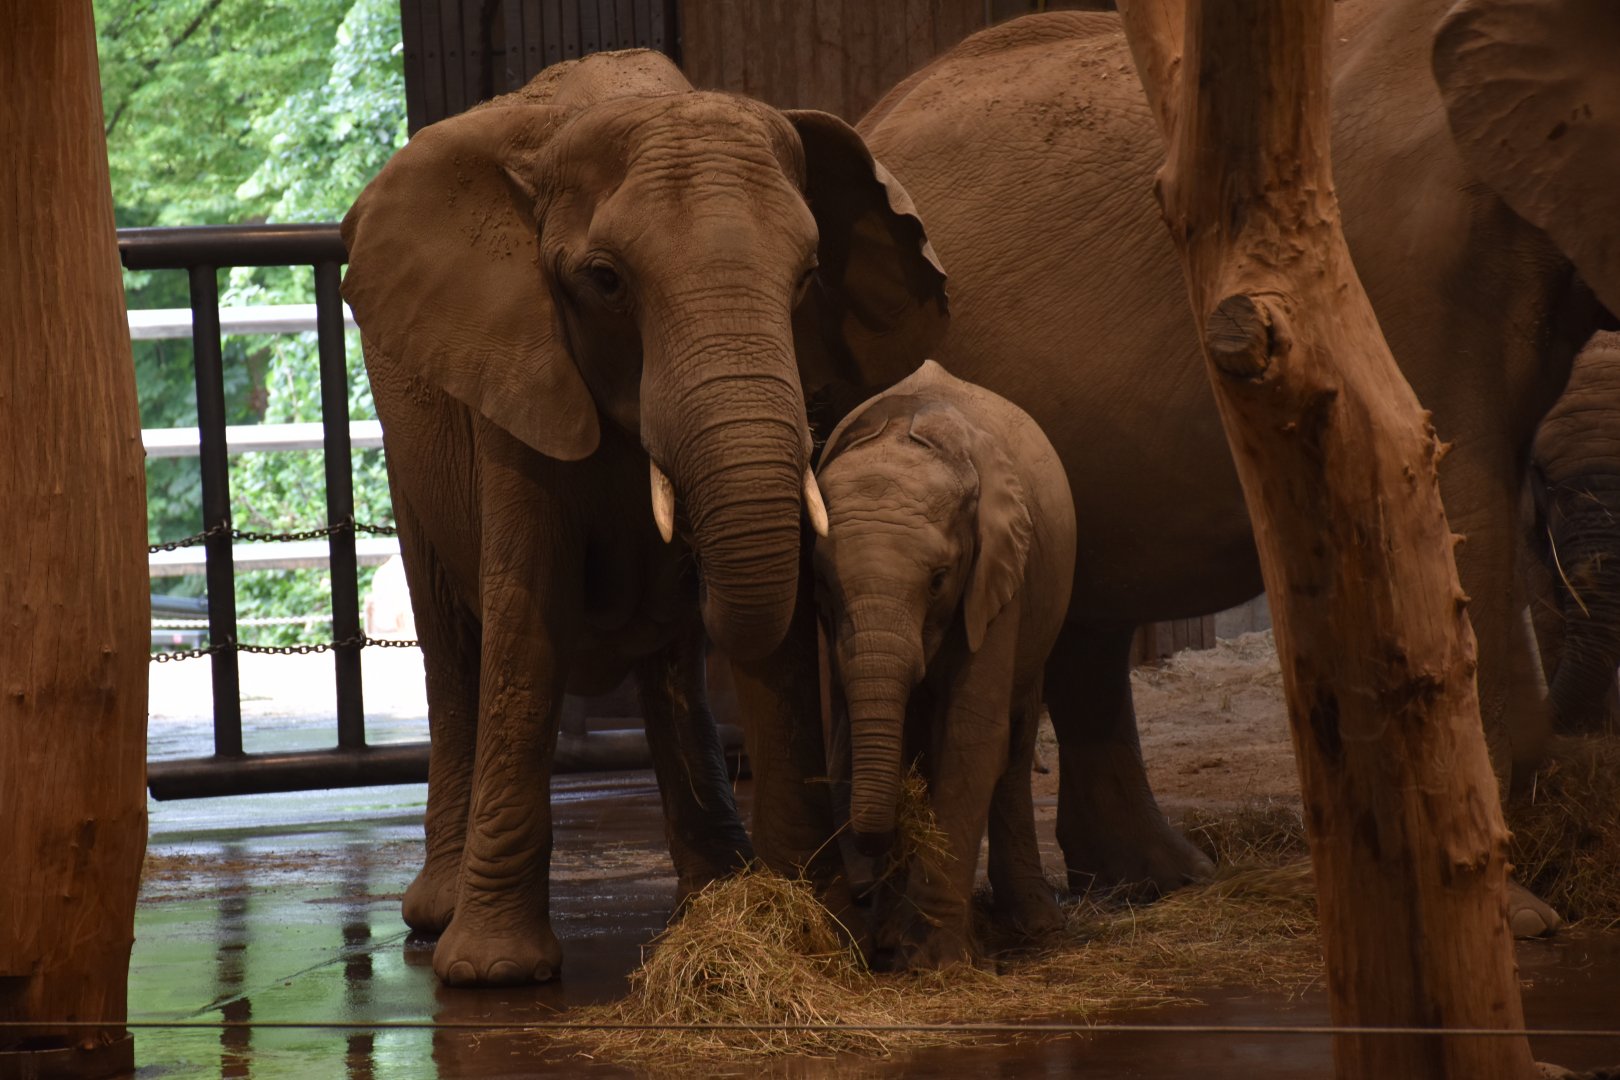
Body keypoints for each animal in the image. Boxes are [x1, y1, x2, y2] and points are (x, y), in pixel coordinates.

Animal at [339, 49, 948, 985]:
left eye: (809, 276)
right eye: (606, 281)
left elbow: (774, 629)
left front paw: (810, 930)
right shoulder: (514, 370)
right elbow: (528, 620)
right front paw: (495, 973)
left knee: (670, 668)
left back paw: (709, 889)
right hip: (409, 434)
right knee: (455, 647)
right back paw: (436, 918)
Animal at [812, 360, 1073, 968]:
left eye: (937, 580)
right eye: (825, 584)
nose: (859, 893)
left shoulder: (997, 574)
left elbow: (970, 733)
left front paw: (935, 961)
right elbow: (849, 731)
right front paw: (883, 940)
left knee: (1014, 744)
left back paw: (1036, 927)